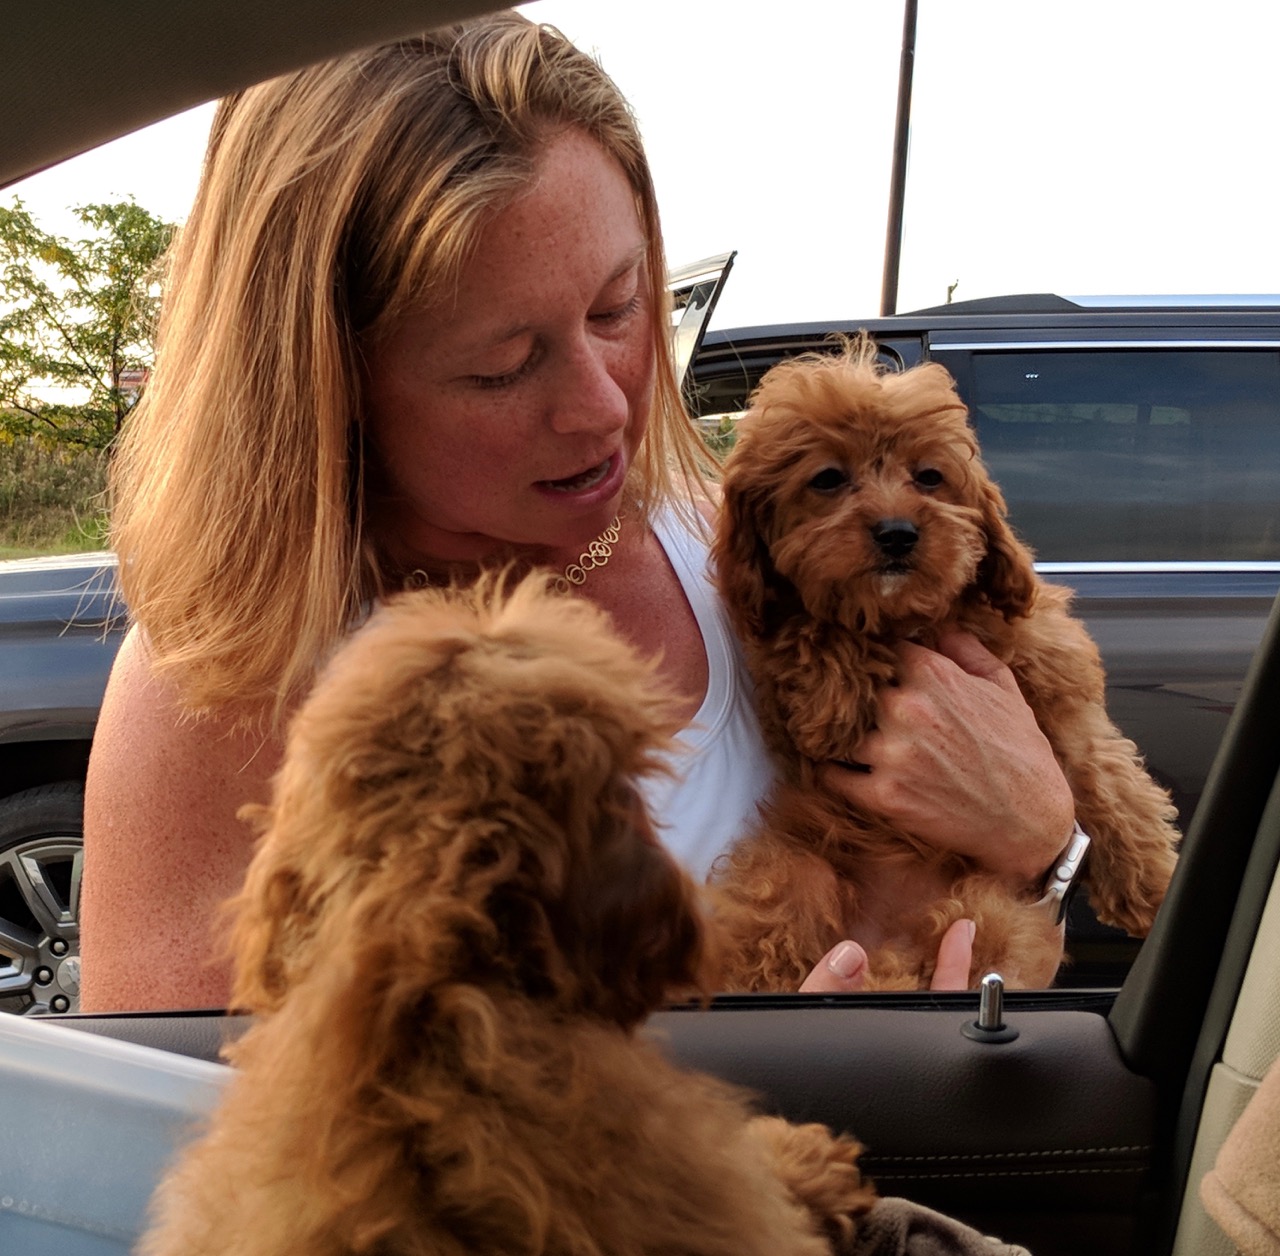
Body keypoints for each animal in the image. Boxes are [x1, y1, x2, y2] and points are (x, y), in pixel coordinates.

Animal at [709, 335, 1181, 991]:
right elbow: (810, 627)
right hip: (792, 869)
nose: (897, 532)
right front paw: (833, 694)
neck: (910, 618)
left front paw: (1154, 884)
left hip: (990, 910)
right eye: (827, 478)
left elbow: (1106, 776)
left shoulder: (1055, 689)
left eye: (929, 477)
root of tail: (884, 941)